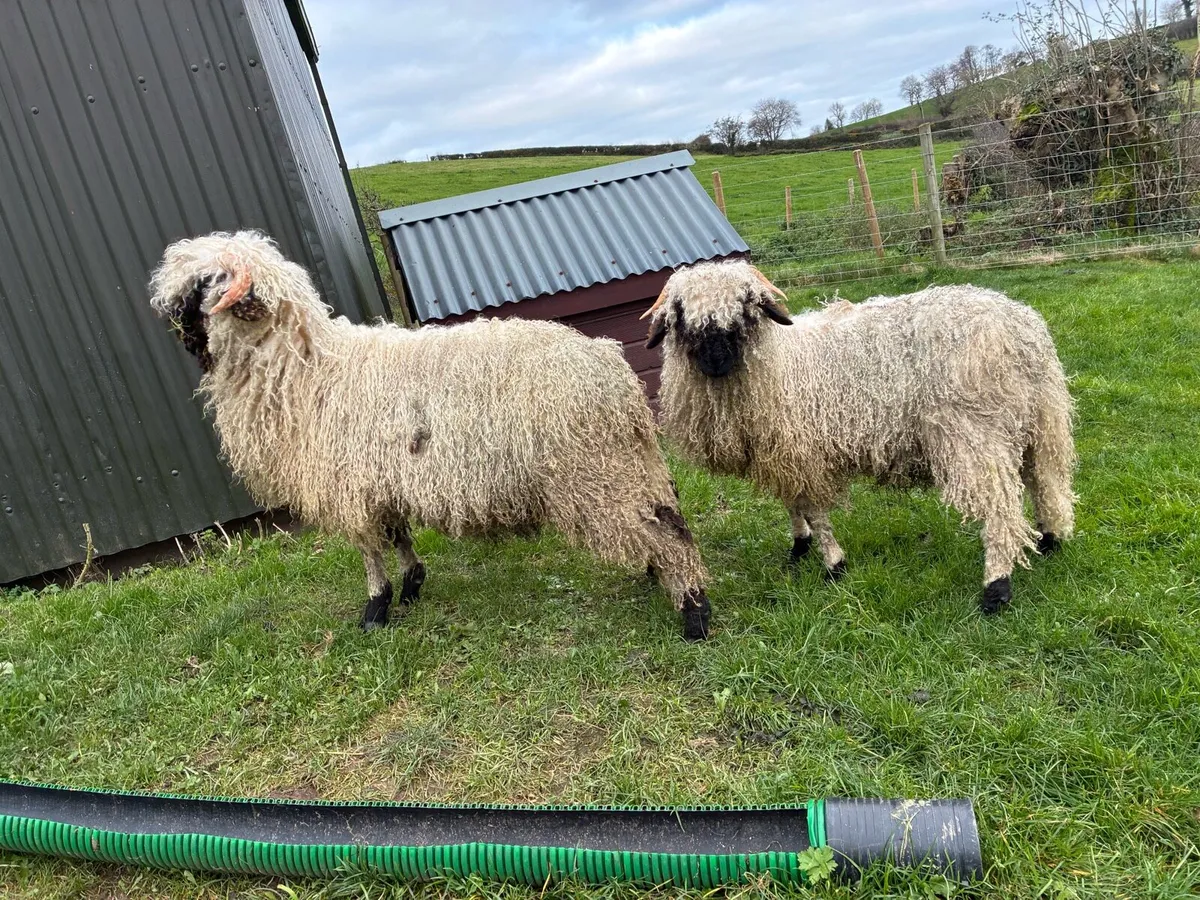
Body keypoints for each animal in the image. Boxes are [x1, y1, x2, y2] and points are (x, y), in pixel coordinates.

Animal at [149, 230, 711, 639]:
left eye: (203, 285)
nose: (172, 325)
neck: (303, 373)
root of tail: (612, 366)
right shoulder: (381, 480)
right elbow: (398, 532)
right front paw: (413, 583)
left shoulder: (348, 486)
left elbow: (369, 550)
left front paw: (375, 610)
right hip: (626, 461)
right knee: (667, 510)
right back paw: (664, 580)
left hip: (594, 473)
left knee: (667, 532)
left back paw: (695, 613)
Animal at [644, 260, 1075, 613]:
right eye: (681, 316)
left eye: (746, 308)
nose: (716, 359)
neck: (779, 362)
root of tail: (1017, 328)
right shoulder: (781, 453)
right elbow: (792, 504)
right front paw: (798, 547)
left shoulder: (803, 452)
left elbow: (815, 512)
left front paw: (833, 563)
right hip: (1041, 419)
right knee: (1045, 480)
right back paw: (1050, 539)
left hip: (974, 432)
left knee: (1000, 507)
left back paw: (996, 586)